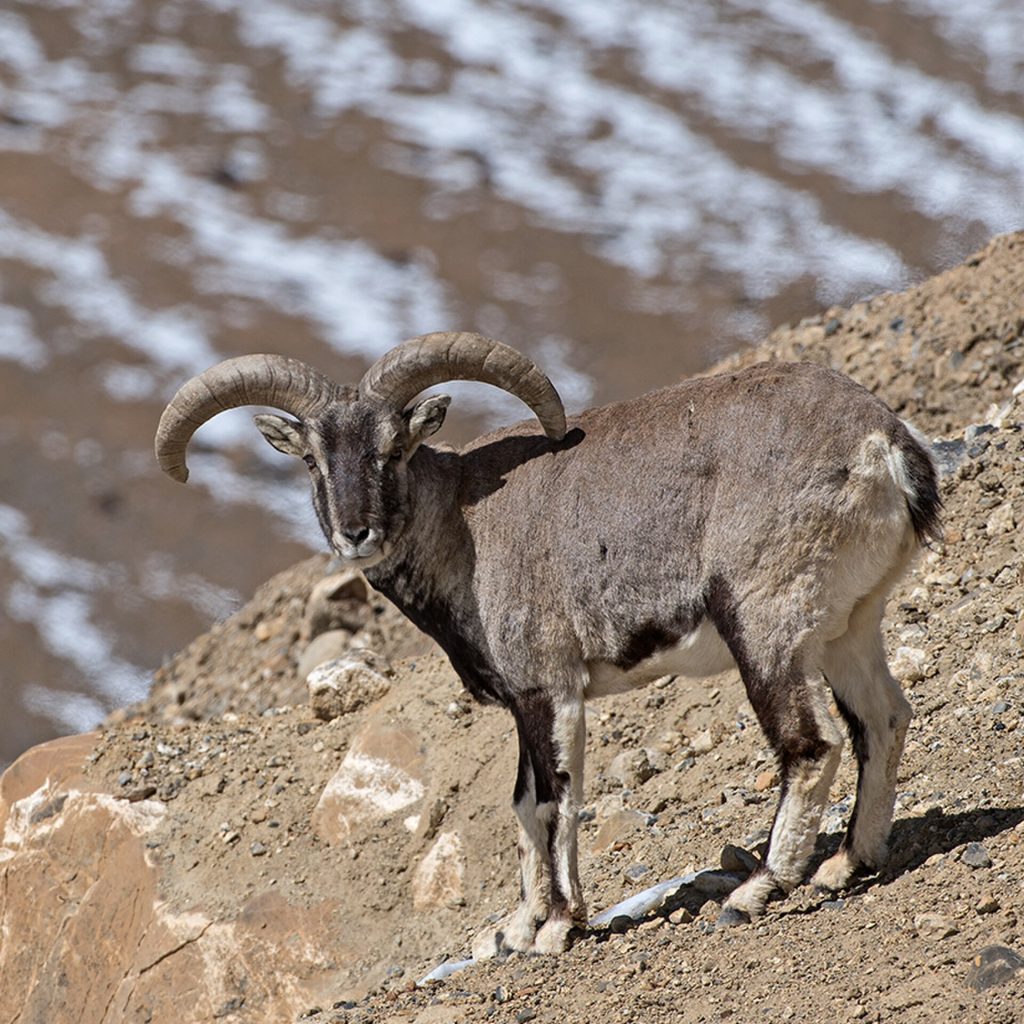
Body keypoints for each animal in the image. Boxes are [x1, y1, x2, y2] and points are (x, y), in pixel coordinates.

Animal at [155, 331, 941, 955]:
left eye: (394, 449)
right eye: (313, 460)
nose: (357, 532)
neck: (464, 529)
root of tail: (883, 445)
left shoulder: (549, 688)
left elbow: (555, 798)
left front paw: (559, 926)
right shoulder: (521, 703)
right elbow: (521, 801)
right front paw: (517, 926)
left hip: (766, 625)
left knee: (810, 745)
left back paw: (758, 888)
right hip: (848, 625)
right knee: (882, 719)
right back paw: (849, 862)